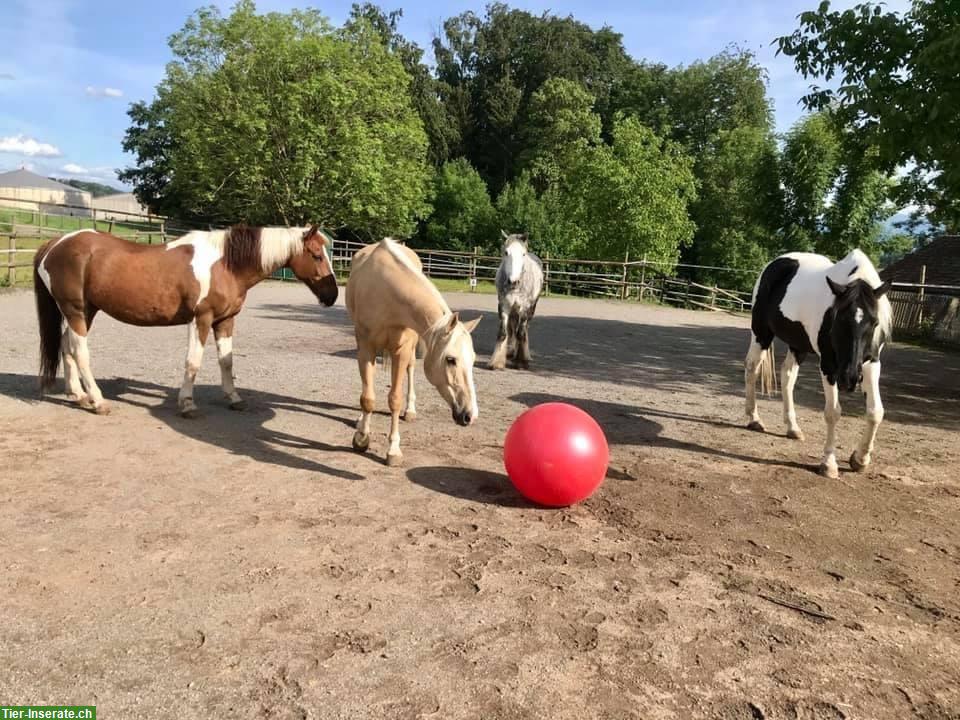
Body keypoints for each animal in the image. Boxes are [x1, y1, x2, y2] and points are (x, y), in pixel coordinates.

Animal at [33, 225, 340, 416]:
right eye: (316, 255)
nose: (333, 295)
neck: (226, 265)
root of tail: (55, 244)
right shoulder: (201, 319)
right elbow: (193, 362)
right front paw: (187, 404)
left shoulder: (225, 321)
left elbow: (227, 362)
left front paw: (234, 399)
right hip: (76, 311)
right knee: (80, 351)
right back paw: (97, 401)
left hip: (86, 312)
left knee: (67, 347)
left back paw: (78, 395)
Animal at [344, 239, 480, 466]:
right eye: (451, 359)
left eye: (473, 361)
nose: (470, 416)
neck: (387, 292)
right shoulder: (365, 348)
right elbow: (368, 398)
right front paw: (362, 438)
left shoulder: (402, 351)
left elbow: (395, 399)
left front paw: (393, 450)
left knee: (410, 370)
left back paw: (410, 411)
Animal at [492, 232, 544, 372]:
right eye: (506, 252)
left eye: (523, 254)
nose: (513, 282)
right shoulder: (504, 306)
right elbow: (503, 333)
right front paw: (496, 362)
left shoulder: (524, 308)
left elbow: (521, 333)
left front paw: (521, 362)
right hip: (513, 310)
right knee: (512, 329)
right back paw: (511, 352)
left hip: (530, 309)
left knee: (523, 330)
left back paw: (525, 355)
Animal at [748, 250, 896, 480]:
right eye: (838, 319)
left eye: (874, 323)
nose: (849, 379)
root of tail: (777, 262)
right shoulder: (829, 365)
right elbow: (832, 412)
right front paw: (828, 464)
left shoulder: (871, 363)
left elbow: (875, 412)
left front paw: (860, 459)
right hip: (761, 333)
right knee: (752, 368)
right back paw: (754, 419)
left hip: (797, 345)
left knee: (787, 376)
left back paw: (792, 428)